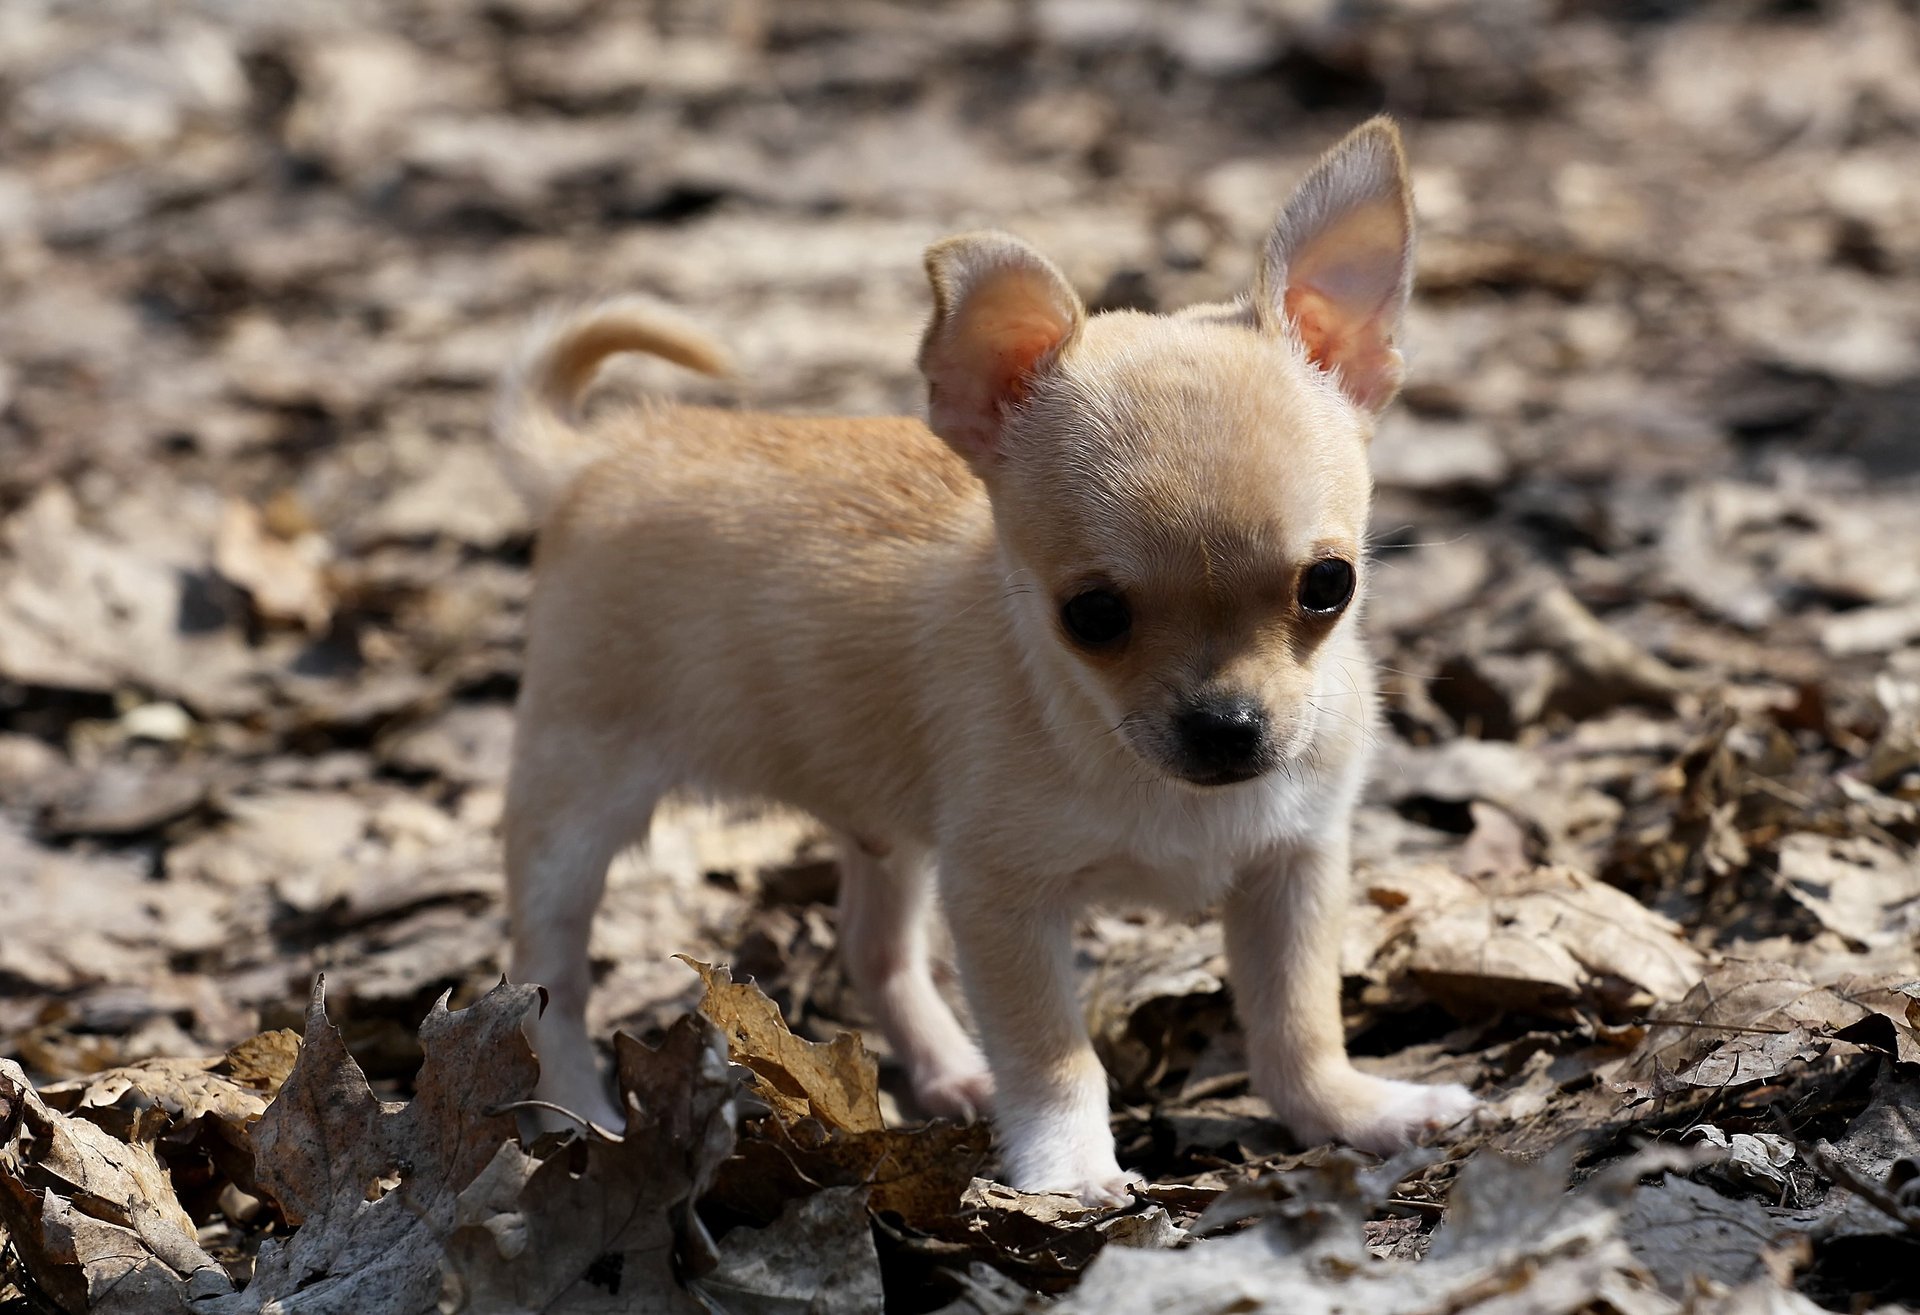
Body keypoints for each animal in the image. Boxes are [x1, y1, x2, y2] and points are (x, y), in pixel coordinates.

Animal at [495, 118, 1466, 1205]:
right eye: (1092, 615)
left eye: (1329, 586)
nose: (1226, 728)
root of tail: (597, 458)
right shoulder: (1003, 902)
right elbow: (1053, 1052)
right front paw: (1067, 1165)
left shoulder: (1292, 866)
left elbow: (1298, 1019)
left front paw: (1350, 1111)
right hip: (577, 804)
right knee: (551, 977)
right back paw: (571, 1110)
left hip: (889, 831)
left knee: (873, 948)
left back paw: (949, 1067)